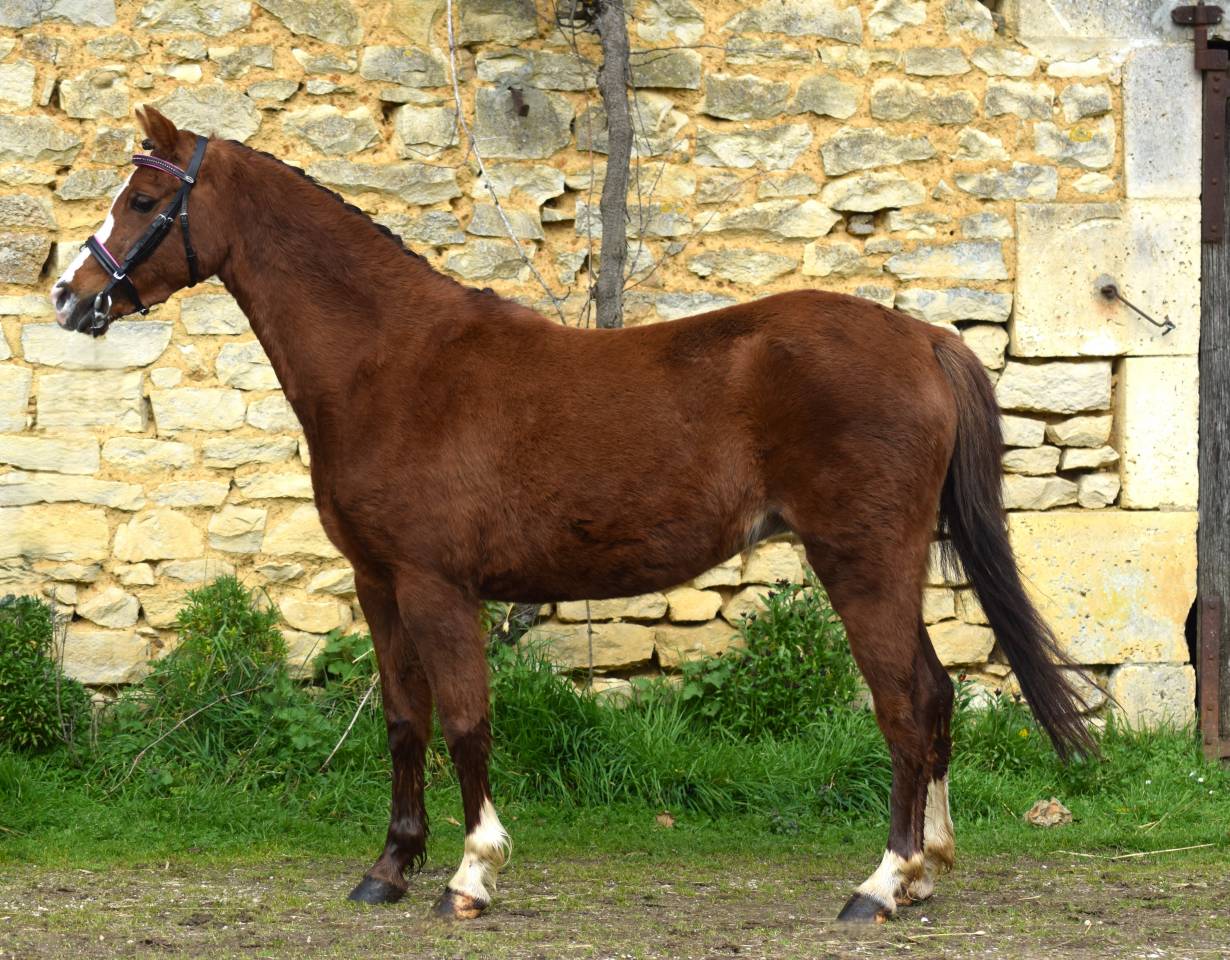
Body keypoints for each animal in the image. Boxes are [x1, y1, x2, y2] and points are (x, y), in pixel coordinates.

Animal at [50, 106, 1093, 924]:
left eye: (141, 201)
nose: (69, 295)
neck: (391, 363)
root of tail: (921, 337)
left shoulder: (436, 585)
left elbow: (466, 719)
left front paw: (471, 876)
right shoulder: (378, 582)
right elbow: (404, 719)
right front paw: (388, 869)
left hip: (863, 561)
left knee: (905, 705)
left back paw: (879, 884)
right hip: (887, 565)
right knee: (937, 694)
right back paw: (926, 874)